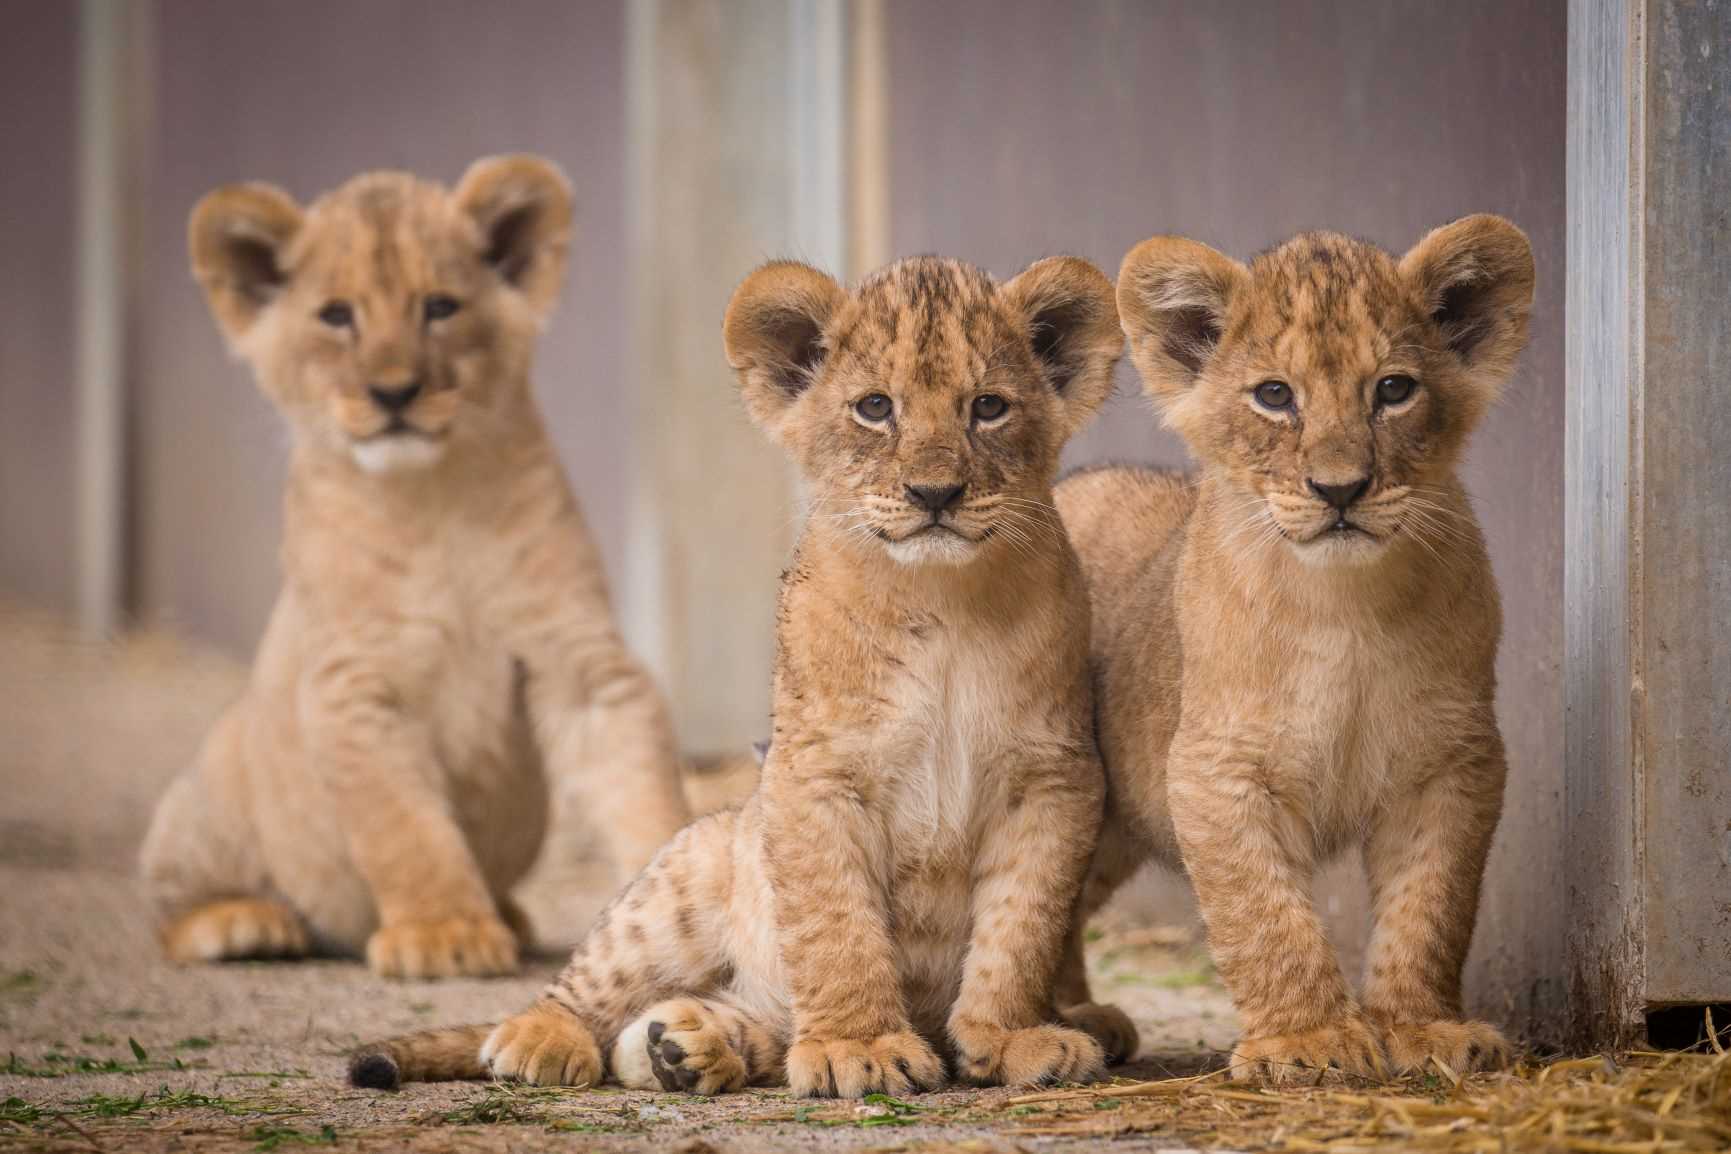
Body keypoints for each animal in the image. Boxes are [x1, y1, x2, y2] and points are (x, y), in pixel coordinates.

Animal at [138, 156, 692, 979]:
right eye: (336, 316)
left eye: (440, 307)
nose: (393, 390)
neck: (434, 499)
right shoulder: (354, 685)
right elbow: (405, 828)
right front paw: (445, 933)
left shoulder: (580, 660)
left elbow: (641, 785)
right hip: (213, 788)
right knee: (169, 904)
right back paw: (244, 923)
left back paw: (512, 914)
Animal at [344, 253, 1127, 1097]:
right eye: (874, 408)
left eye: (988, 407)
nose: (935, 494)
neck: (942, 599)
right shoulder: (813, 775)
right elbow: (835, 925)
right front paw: (859, 1046)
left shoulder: (1052, 781)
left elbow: (1020, 930)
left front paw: (1012, 1038)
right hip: (679, 885)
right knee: (586, 984)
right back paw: (541, 1041)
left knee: (721, 1025)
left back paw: (685, 1047)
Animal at [1053, 216, 1535, 1084]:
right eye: (1274, 395)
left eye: (1393, 389)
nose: (1339, 489)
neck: (1342, 608)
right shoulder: (1215, 768)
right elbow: (1263, 914)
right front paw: (1306, 1043)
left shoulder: (1451, 761)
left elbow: (1430, 906)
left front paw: (1422, 1029)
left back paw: (1081, 1017)